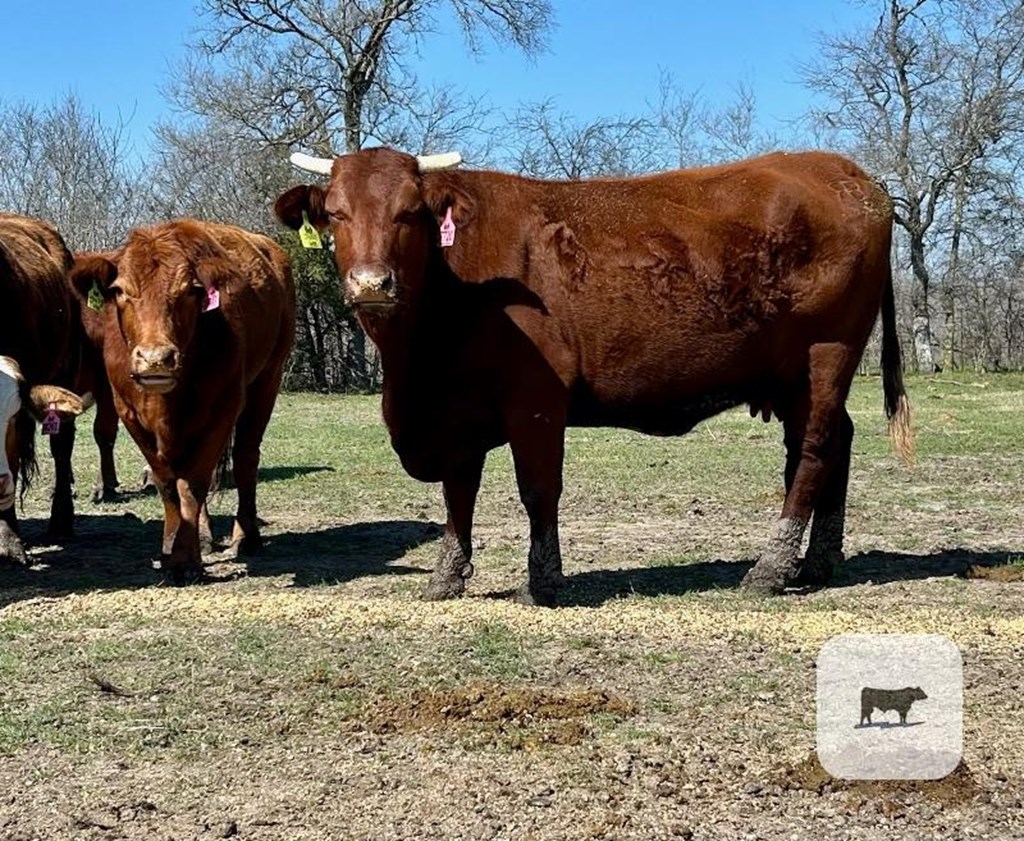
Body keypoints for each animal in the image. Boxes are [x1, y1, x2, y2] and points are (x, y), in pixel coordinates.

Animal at [68, 220, 296, 581]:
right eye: (120, 291)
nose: (155, 359)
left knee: (245, 458)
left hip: (267, 379)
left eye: (189, 291)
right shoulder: (128, 412)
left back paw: (245, 535)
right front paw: (172, 545)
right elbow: (167, 484)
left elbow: (194, 483)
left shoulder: (223, 408)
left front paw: (185, 559)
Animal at [274, 144, 913, 602]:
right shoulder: (458, 415)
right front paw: (446, 577)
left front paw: (544, 582)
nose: (371, 284)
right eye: (335, 215)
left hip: (826, 353)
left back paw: (770, 568)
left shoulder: (535, 400)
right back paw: (818, 563)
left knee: (813, 451)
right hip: (792, 377)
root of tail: (850, 174)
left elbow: (538, 489)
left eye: (410, 213)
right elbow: (459, 494)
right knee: (835, 443)